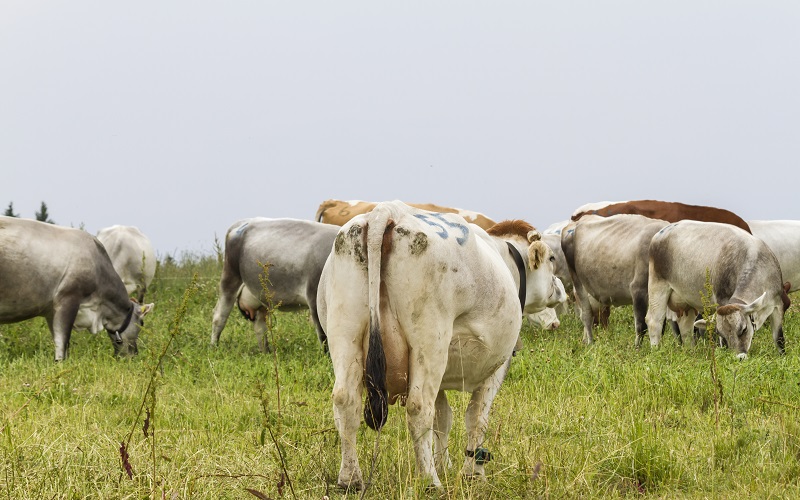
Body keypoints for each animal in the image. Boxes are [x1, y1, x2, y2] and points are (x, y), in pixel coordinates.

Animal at [210, 218, 339, 352]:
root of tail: (243, 222)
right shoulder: (314, 297)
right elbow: (324, 335)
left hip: (260, 296)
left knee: (260, 326)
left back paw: (265, 352)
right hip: (230, 278)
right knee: (219, 316)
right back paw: (214, 347)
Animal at [316, 201, 566, 490]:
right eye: (551, 259)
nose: (561, 289)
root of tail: (387, 211)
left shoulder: (442, 379)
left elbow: (443, 418)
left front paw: (443, 464)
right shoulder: (495, 369)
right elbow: (475, 418)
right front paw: (472, 472)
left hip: (345, 334)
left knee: (346, 401)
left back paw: (350, 478)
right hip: (429, 342)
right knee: (418, 408)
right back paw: (429, 480)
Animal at [561, 214, 669, 344]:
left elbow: (662, 324)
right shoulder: (638, 289)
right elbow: (641, 325)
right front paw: (638, 348)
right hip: (577, 281)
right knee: (587, 315)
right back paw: (590, 343)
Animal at [645, 221, 786, 359]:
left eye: (744, 329)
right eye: (721, 334)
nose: (739, 357)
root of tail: (664, 230)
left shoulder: (777, 305)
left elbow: (779, 339)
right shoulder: (721, 300)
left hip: (686, 300)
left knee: (686, 326)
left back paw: (690, 351)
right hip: (657, 287)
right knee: (654, 321)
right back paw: (656, 351)